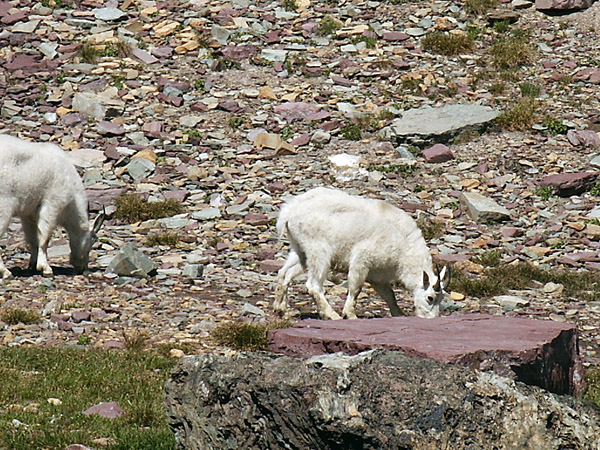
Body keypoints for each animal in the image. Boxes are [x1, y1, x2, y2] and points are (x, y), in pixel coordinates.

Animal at [0, 133, 104, 278]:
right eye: (92, 241)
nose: (82, 269)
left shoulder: (29, 214)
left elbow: (33, 239)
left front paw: (33, 265)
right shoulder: (53, 203)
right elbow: (45, 236)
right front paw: (45, 268)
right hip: (4, 205)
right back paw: (5, 272)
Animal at [274, 186, 448, 320]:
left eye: (442, 298)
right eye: (430, 297)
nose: (431, 319)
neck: (404, 247)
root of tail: (289, 213)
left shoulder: (378, 275)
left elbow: (389, 295)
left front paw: (399, 314)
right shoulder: (362, 259)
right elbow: (356, 287)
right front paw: (350, 315)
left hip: (300, 250)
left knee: (284, 273)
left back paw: (280, 309)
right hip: (319, 250)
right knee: (313, 285)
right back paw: (332, 315)